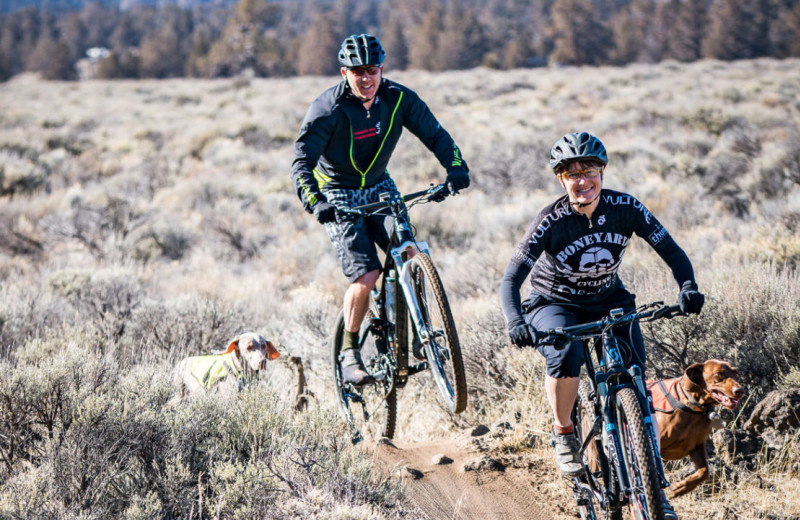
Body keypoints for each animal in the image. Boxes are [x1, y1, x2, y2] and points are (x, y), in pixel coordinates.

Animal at [648, 360, 748, 498]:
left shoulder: (697, 447)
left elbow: (704, 472)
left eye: (736, 374)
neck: (694, 407)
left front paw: (682, 488)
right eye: (718, 374)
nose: (740, 390)